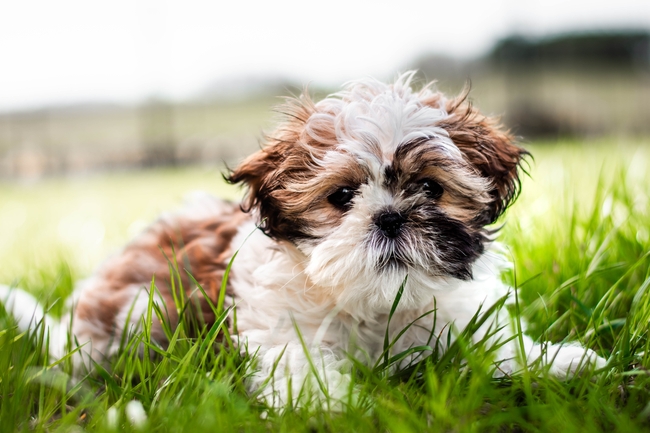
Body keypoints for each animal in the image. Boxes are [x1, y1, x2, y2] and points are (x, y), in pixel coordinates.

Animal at [2, 72, 604, 406]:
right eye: (342, 197)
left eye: (431, 188)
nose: (390, 218)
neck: (379, 304)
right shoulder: (281, 332)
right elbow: (301, 371)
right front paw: (335, 407)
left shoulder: (459, 318)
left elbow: (493, 349)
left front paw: (557, 361)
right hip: (138, 309)